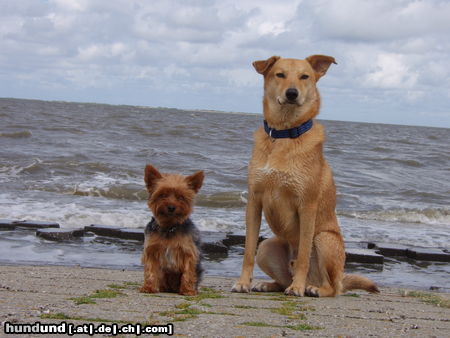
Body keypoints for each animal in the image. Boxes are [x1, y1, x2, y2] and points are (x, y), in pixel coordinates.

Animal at [140, 164, 205, 296]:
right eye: (163, 195)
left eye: (181, 197)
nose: (171, 207)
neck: (169, 227)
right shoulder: (151, 251)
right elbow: (150, 270)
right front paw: (149, 287)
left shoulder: (188, 252)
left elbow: (188, 272)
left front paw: (187, 290)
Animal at [232, 54, 380, 296]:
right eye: (279, 74)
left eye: (305, 76)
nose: (292, 93)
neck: (284, 134)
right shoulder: (254, 202)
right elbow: (248, 250)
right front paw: (243, 282)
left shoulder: (307, 206)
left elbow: (302, 254)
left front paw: (298, 288)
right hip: (267, 246)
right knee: (282, 278)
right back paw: (268, 284)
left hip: (324, 239)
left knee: (332, 287)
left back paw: (313, 288)